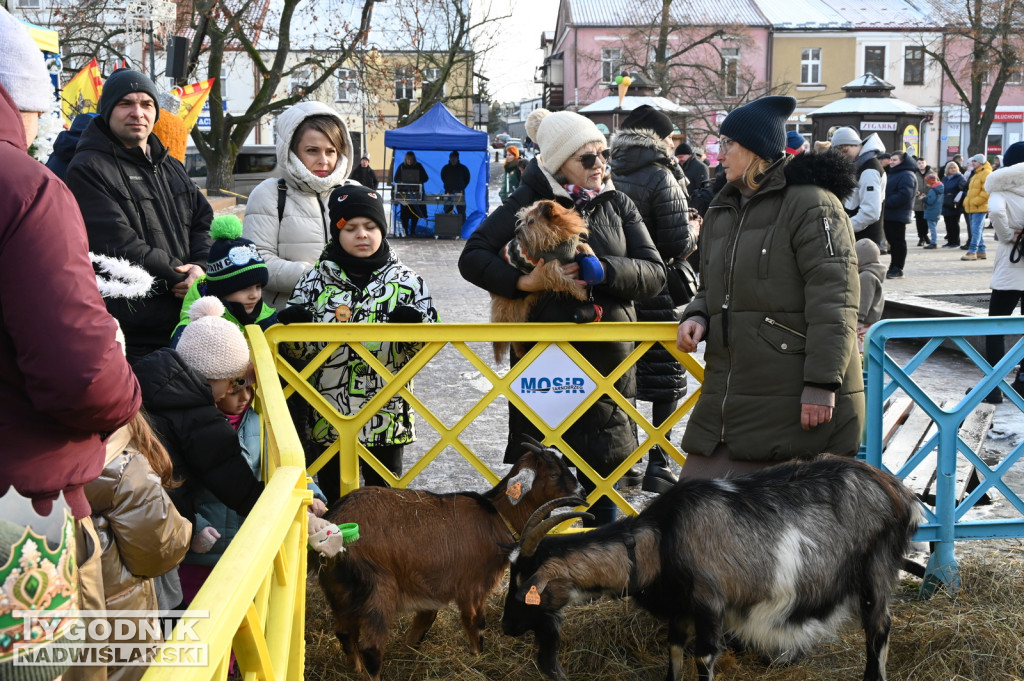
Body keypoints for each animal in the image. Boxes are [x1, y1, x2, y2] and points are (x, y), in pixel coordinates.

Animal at [315, 438, 585, 675]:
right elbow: (476, 624)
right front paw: (477, 659)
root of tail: (335, 524)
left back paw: (356, 670)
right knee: (371, 648)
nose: (582, 492)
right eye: (553, 474)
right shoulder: (473, 587)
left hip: (340, 593)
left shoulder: (431, 588)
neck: (495, 516)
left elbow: (424, 622)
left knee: (345, 635)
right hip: (377, 589)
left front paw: (409, 651)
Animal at [491, 199, 598, 360]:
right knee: (512, 333)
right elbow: (564, 280)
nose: (516, 231)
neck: (559, 236)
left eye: (530, 221)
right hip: (511, 309)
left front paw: (593, 257)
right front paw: (580, 292)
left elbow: (583, 245)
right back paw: (520, 351)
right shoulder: (549, 267)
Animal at [499, 450, 925, 679]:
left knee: (879, 627)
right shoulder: (678, 611)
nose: (505, 628)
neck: (660, 541)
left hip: (876, 571)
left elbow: (703, 657)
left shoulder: (709, 606)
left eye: (523, 585)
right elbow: (674, 653)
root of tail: (901, 494)